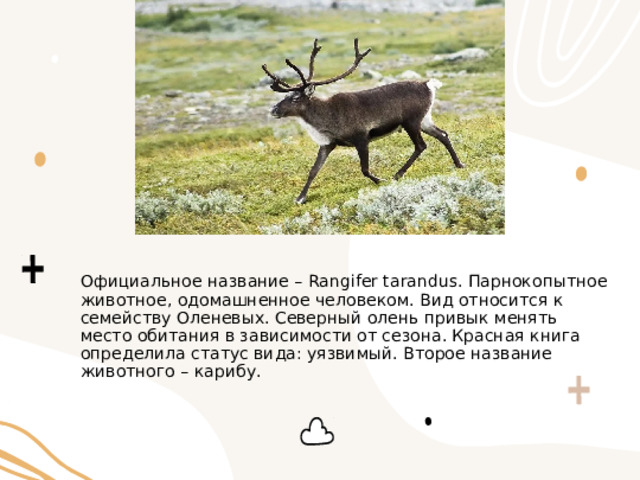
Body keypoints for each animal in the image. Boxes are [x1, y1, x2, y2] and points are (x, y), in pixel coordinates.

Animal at [263, 38, 465, 204]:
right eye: (286, 95)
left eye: (296, 98)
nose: (273, 110)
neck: (325, 118)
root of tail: (428, 85)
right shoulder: (328, 144)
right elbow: (313, 170)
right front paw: (300, 198)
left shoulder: (361, 137)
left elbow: (364, 169)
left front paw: (381, 180)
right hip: (424, 120)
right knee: (443, 134)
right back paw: (459, 164)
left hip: (411, 121)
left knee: (421, 145)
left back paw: (397, 174)